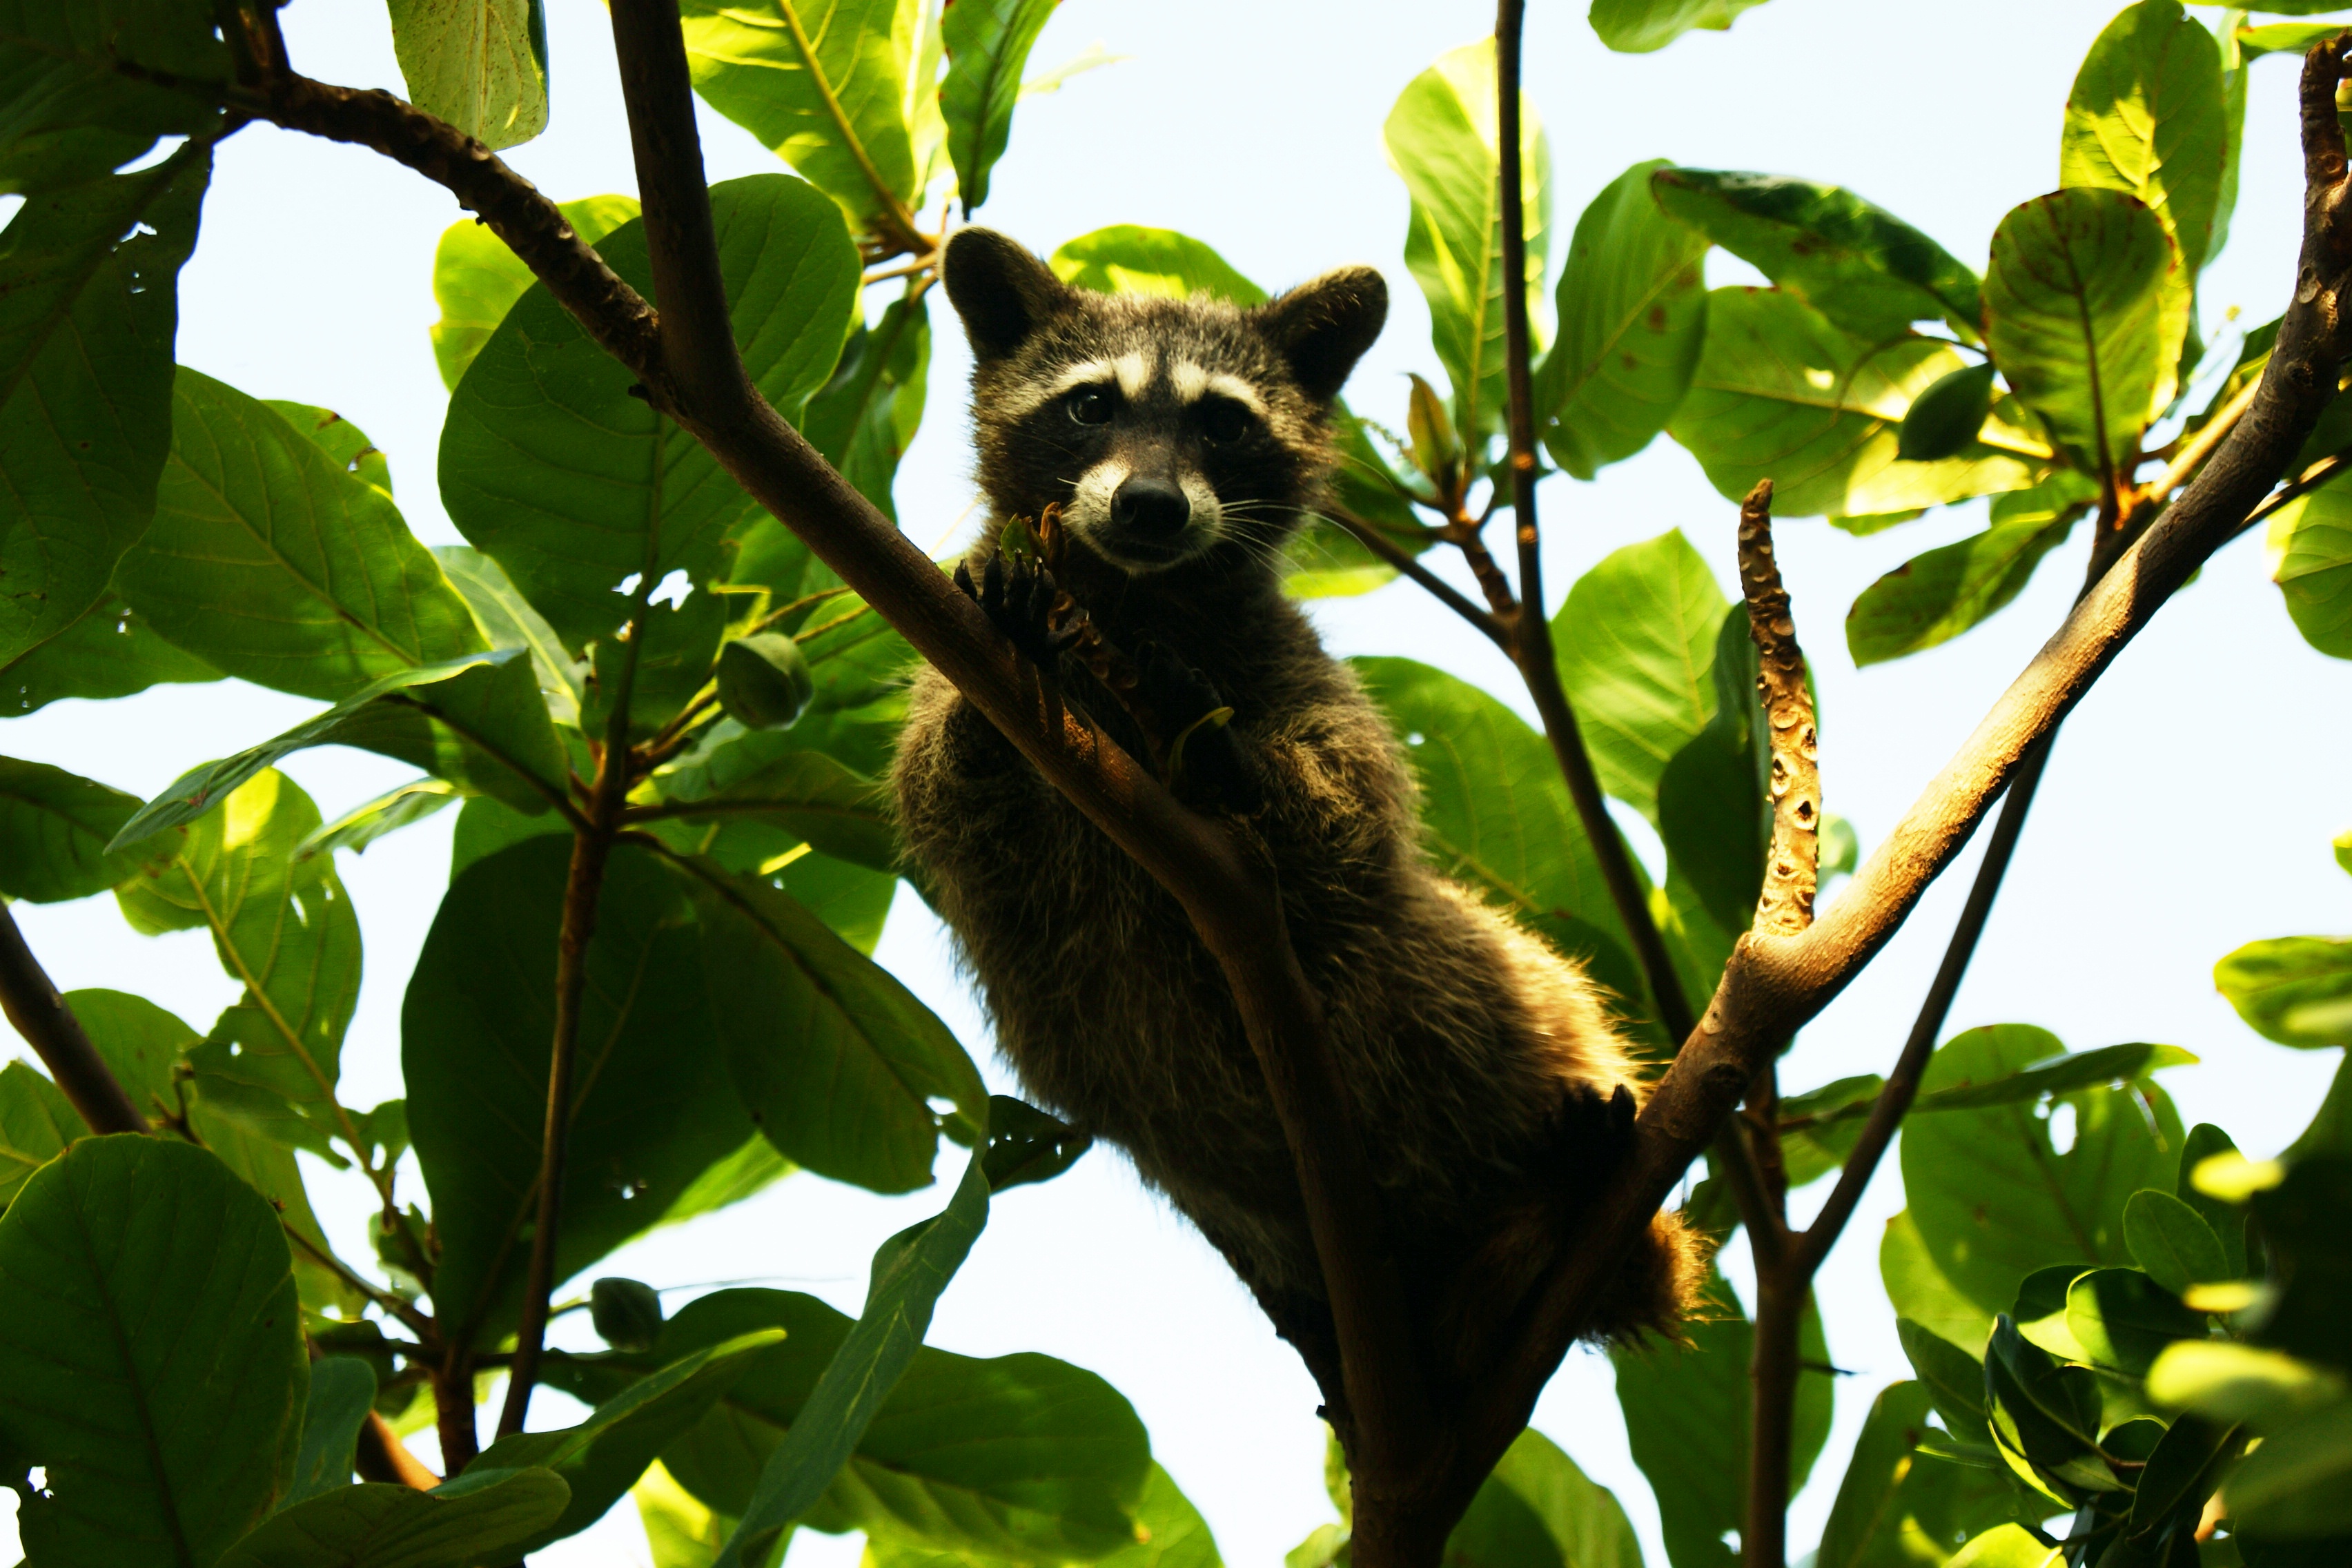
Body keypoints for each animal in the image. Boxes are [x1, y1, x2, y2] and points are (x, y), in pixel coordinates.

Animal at [889, 230, 1703, 1401]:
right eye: (1090, 404)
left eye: (1224, 422)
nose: (1149, 505)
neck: (1136, 599)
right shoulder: (946, 645)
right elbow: (951, 813)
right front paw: (994, 705)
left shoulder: (1290, 661)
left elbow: (1353, 825)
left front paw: (1219, 750)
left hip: (1493, 1020)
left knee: (1435, 937)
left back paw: (1564, 1195)